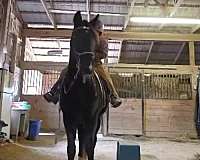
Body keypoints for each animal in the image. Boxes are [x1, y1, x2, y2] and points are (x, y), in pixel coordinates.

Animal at [59, 11, 109, 160]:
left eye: (95, 39)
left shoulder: (92, 120)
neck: (80, 88)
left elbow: (90, 146)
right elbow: (71, 148)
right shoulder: (68, 119)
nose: (87, 68)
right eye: (75, 36)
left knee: (89, 141)